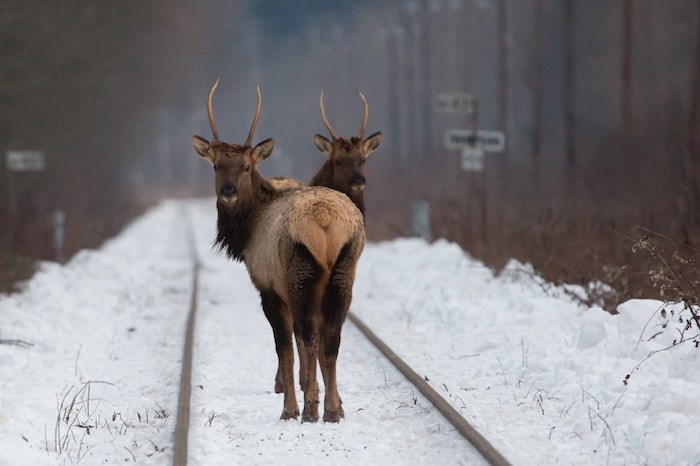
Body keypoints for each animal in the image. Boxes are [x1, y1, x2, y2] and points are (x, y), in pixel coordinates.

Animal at [193, 80, 366, 422]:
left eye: (246, 166)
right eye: (217, 165)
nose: (228, 191)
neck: (249, 226)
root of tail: (325, 221)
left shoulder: (268, 288)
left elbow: (283, 347)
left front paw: (290, 408)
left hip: (300, 274)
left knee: (309, 337)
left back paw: (309, 409)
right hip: (344, 272)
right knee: (331, 340)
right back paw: (333, 409)